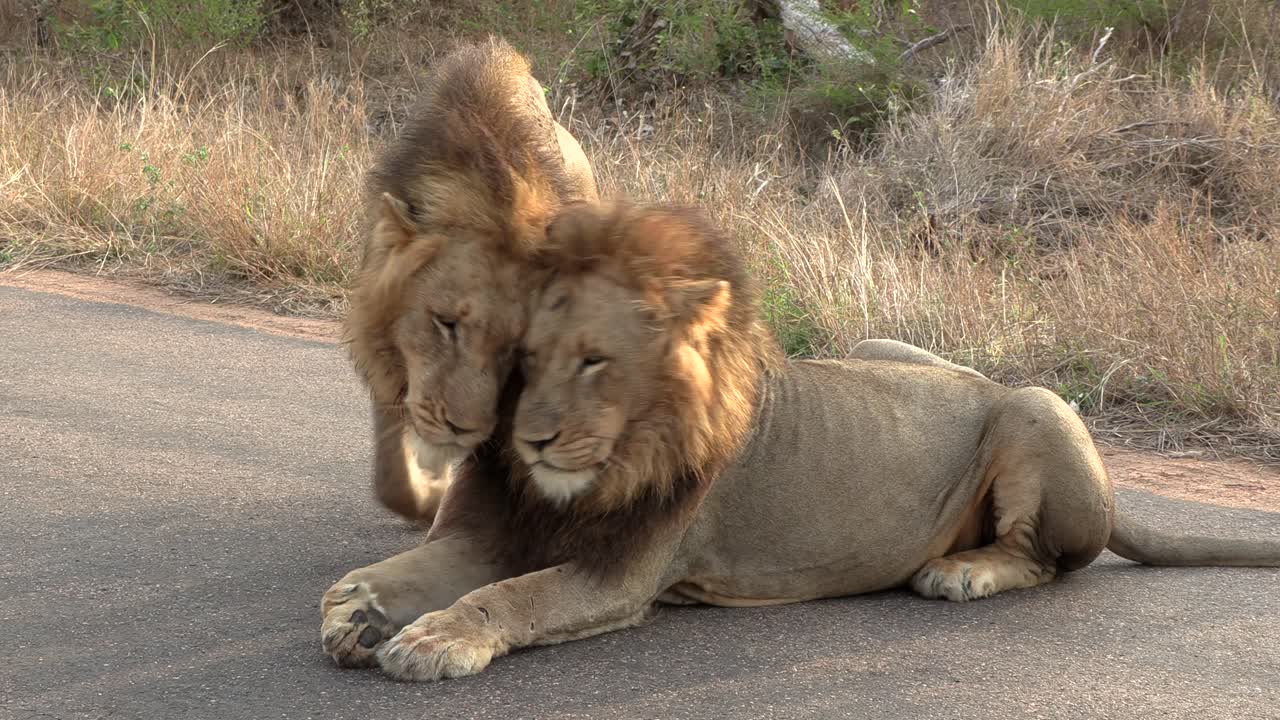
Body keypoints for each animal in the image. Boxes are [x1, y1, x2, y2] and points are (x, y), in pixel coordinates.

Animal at [322, 201, 1280, 680]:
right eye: (526, 356)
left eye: (597, 361)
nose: (534, 439)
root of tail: (989, 382)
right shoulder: (494, 533)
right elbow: (407, 570)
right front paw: (357, 608)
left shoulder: (621, 575)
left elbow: (512, 598)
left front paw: (438, 640)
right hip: (877, 347)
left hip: (1036, 405)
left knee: (1045, 561)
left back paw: (961, 572)